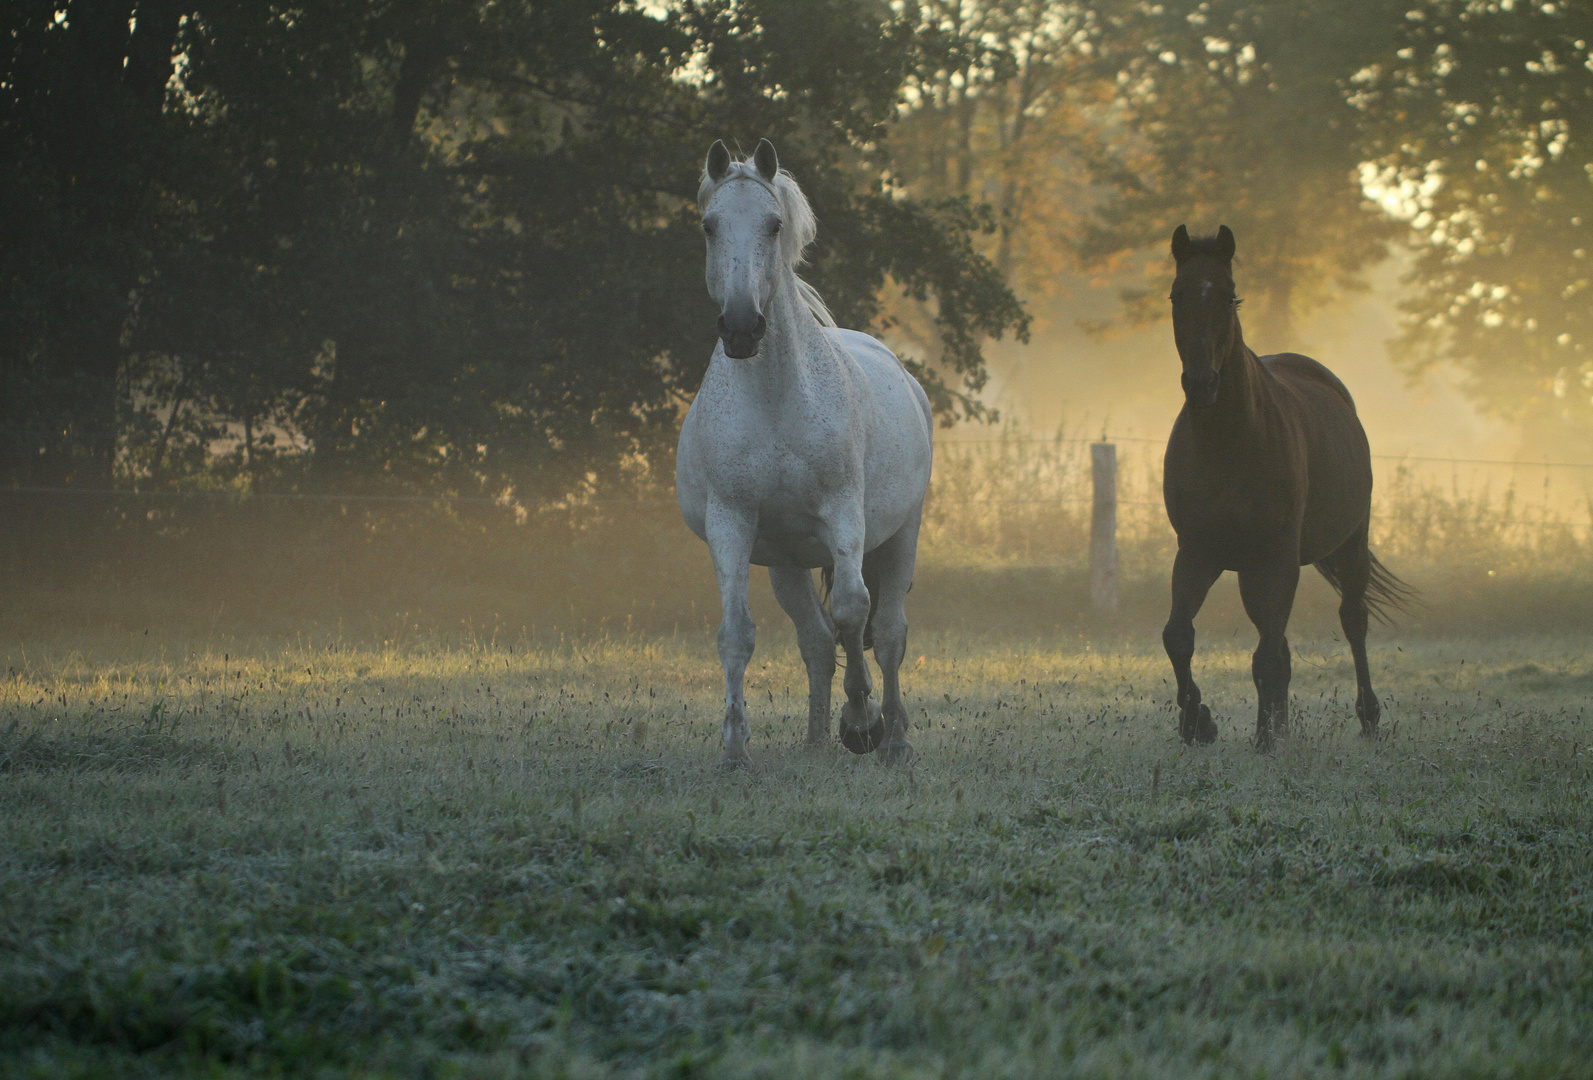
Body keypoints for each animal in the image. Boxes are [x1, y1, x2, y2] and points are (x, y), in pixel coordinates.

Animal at [675, 139, 930, 770]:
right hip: (787, 564)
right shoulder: (732, 523)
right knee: (815, 642)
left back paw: (893, 738)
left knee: (888, 632)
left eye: (774, 224)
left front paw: (861, 721)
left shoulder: (843, 514)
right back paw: (815, 741)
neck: (776, 399)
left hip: (900, 536)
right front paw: (734, 749)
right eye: (709, 226)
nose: (742, 328)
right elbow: (737, 633)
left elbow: (852, 612)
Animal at [1166, 226, 1414, 751]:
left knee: (1352, 620)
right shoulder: (1197, 552)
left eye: (1229, 295)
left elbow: (1267, 656)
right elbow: (1178, 636)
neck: (1229, 442)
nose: (1201, 383)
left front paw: (1265, 737)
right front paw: (1200, 722)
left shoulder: (1276, 555)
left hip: (1348, 545)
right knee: (1275, 643)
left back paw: (1367, 718)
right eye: (1177, 295)